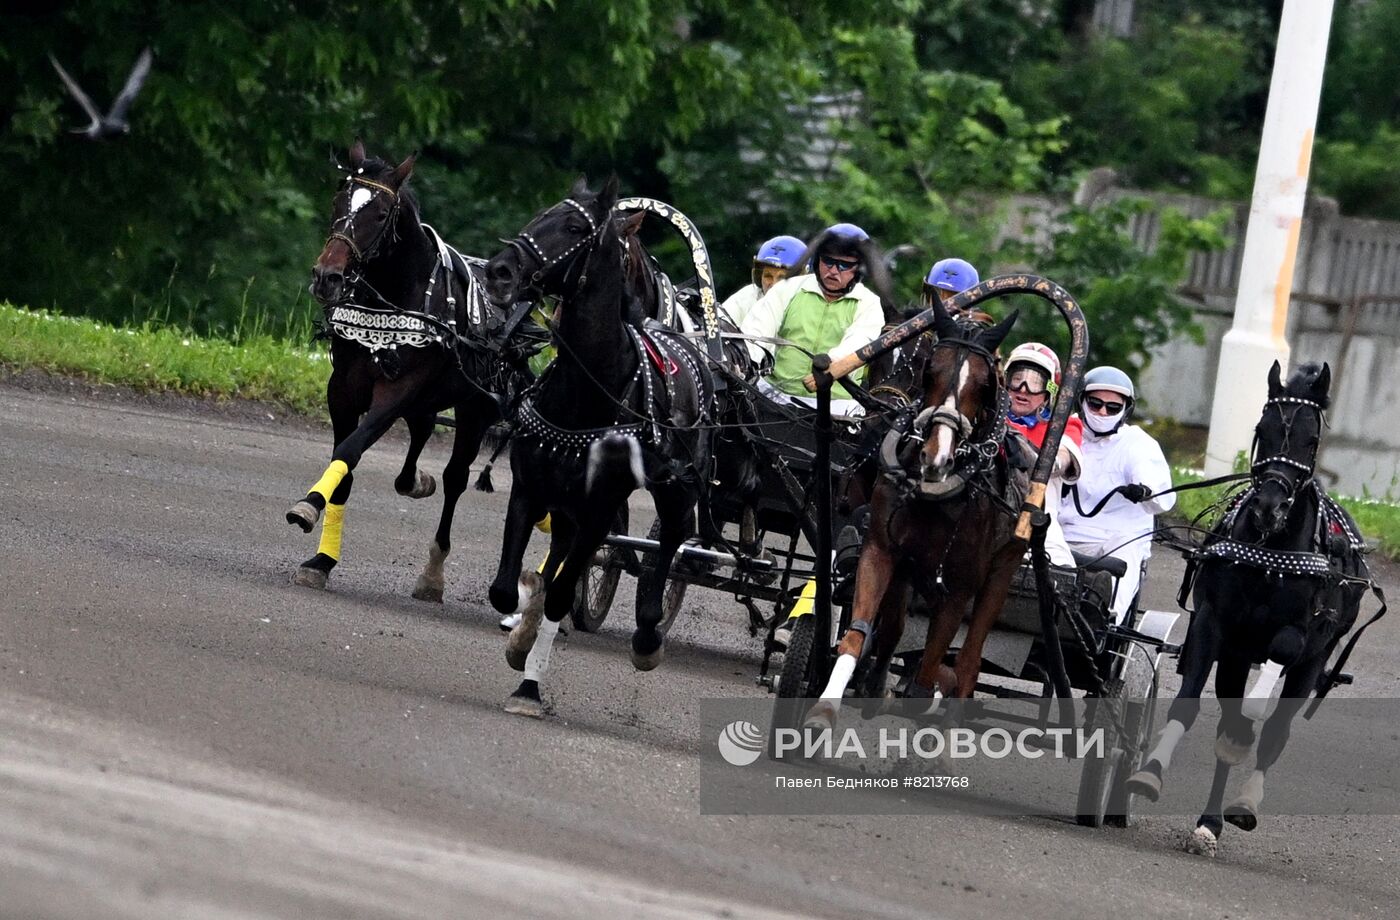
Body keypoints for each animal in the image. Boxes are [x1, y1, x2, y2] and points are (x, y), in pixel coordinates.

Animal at [287, 140, 532, 602]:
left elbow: (351, 450)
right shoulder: (342, 389)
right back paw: (416, 480)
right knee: (419, 440)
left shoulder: (397, 390)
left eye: (381, 213)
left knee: (456, 478)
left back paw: (433, 573)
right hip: (428, 400)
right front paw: (321, 561)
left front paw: (307, 506)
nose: (327, 276)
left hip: (475, 408)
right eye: (338, 200)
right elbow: (343, 467)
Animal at [487, 174, 716, 716]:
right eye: (540, 214)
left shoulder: (599, 512)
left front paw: (529, 684)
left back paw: (649, 636)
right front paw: (521, 635)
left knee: (671, 543)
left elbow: (558, 594)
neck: (586, 388)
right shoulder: (530, 490)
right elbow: (508, 588)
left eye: (574, 227)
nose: (499, 272)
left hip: (678, 490)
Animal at [806, 298, 1024, 728]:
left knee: (968, 663)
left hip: (1002, 571)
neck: (936, 496)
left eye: (984, 384)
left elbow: (928, 676)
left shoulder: (959, 587)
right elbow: (859, 633)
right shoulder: (884, 549)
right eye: (932, 370)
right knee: (896, 630)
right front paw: (826, 708)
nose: (935, 458)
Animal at [1120, 358, 1372, 851]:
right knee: (1230, 722)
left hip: (1314, 662)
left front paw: (1250, 726)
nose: (1268, 506)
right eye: (1263, 429)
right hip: (1236, 659)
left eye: (1311, 439)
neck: (1270, 555)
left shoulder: (1301, 636)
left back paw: (1244, 800)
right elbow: (1189, 704)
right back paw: (1210, 820)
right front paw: (1150, 773)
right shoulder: (1215, 626)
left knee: (1277, 730)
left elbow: (1278, 665)